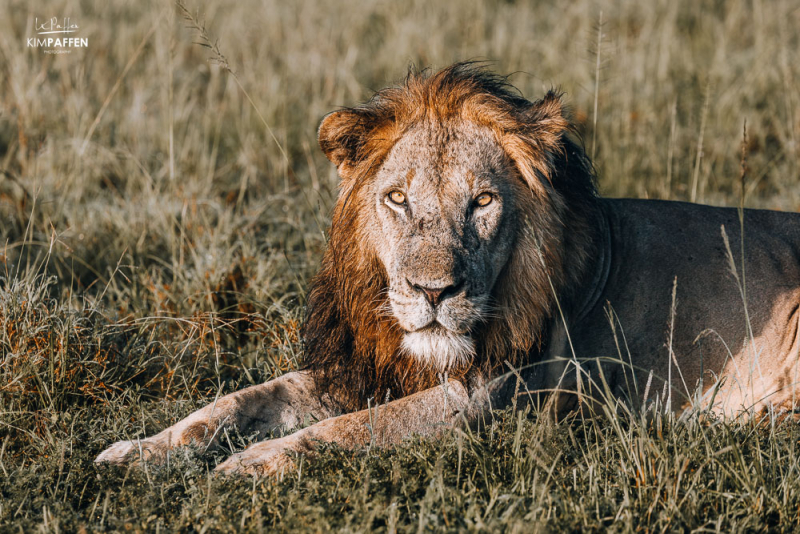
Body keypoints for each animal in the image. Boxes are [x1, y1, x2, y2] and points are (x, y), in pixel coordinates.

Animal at [97, 62, 800, 478]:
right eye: (397, 198)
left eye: (483, 201)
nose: (434, 293)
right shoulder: (367, 367)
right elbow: (236, 401)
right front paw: (136, 452)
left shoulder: (490, 396)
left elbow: (348, 431)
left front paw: (247, 465)